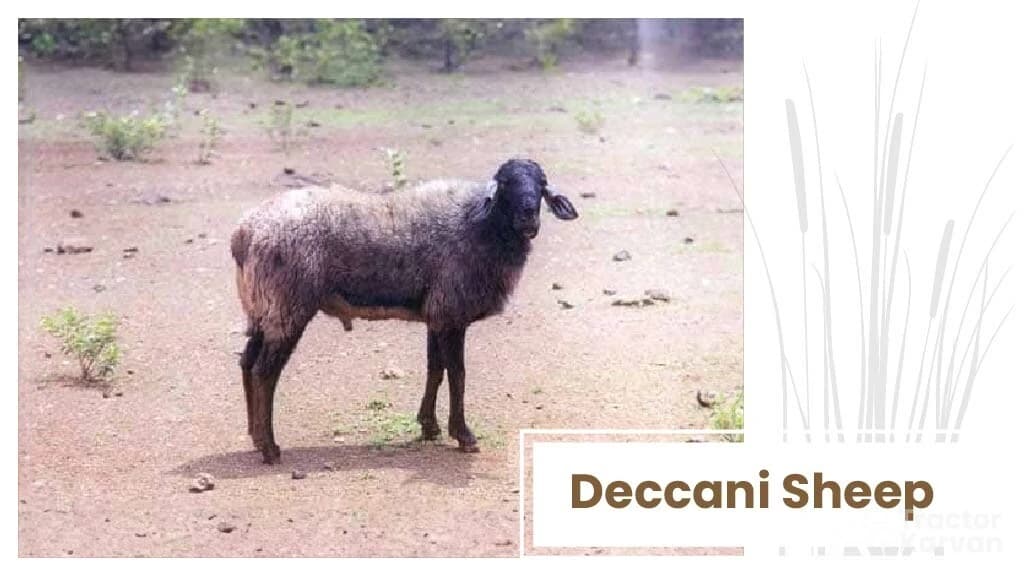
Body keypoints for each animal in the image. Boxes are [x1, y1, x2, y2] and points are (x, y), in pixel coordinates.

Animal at [231, 158, 578, 463]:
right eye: (505, 184)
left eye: (541, 184)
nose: (529, 217)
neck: (481, 225)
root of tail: (244, 232)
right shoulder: (452, 312)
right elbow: (458, 374)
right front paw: (463, 435)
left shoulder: (438, 315)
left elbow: (435, 370)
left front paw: (429, 426)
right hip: (286, 305)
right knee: (265, 371)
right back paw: (270, 448)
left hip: (263, 308)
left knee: (247, 363)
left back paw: (254, 436)